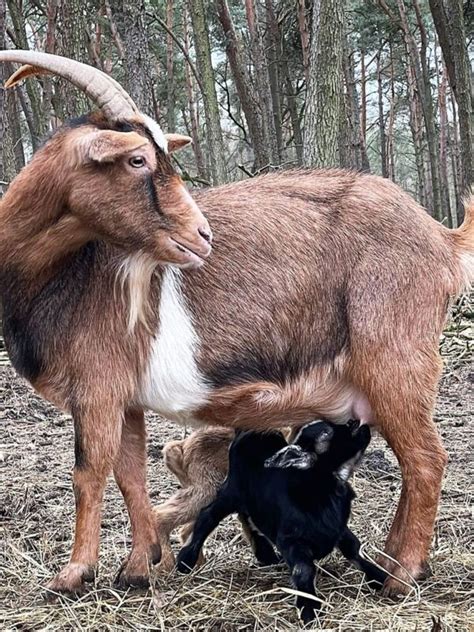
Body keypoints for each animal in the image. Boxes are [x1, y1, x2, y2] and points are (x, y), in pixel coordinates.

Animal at [0, 50, 474, 596]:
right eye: (137, 159)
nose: (201, 235)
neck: (65, 273)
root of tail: (441, 239)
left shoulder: (97, 387)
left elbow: (89, 471)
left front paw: (73, 575)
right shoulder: (125, 396)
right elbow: (130, 473)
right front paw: (139, 568)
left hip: (396, 359)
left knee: (426, 458)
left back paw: (402, 575)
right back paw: (391, 559)